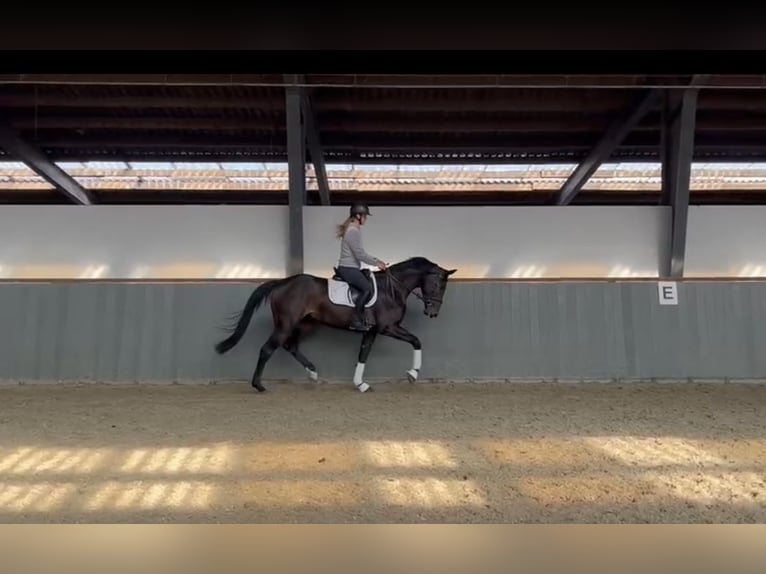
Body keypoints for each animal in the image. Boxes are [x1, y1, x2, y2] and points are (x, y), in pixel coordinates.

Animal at [213, 258, 460, 394]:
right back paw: (259, 386)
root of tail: (282, 282)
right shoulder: (387, 327)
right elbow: (416, 340)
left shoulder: (371, 331)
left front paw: (360, 384)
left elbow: (363, 354)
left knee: (291, 346)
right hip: (286, 324)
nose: (433, 313)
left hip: (307, 324)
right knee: (267, 349)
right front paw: (413, 374)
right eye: (439, 285)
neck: (393, 289)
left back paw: (313, 373)